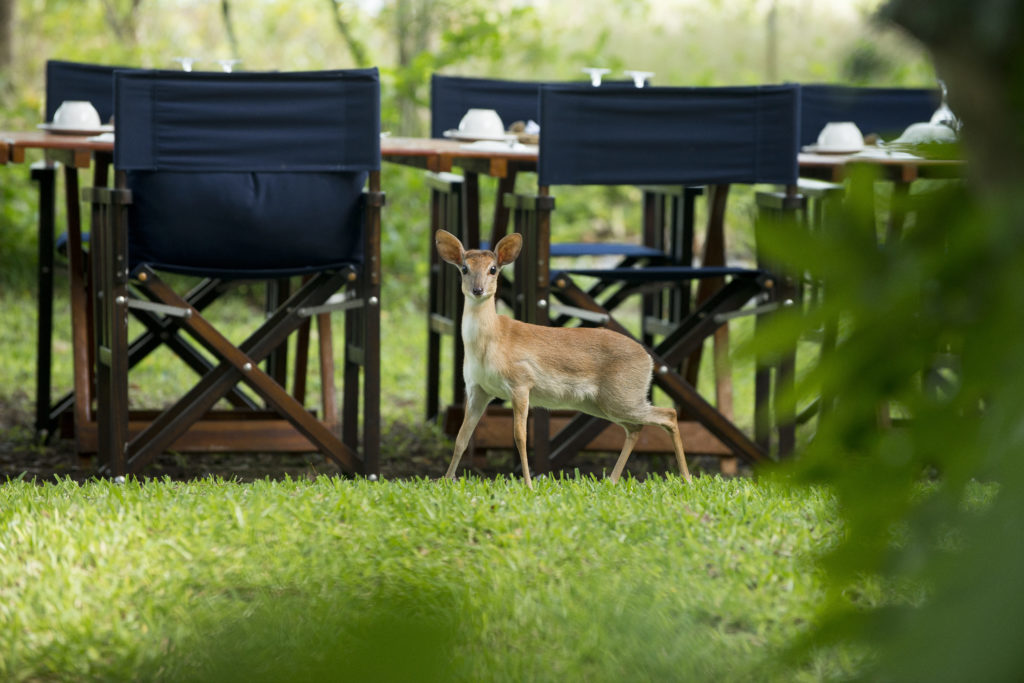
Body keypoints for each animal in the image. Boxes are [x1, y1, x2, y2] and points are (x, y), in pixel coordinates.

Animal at [435, 229, 692, 489]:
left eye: (493, 269)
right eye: (464, 268)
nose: (477, 290)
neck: (491, 343)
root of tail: (649, 360)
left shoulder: (521, 383)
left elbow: (520, 437)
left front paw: (528, 484)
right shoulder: (478, 389)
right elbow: (462, 437)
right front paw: (445, 480)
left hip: (623, 395)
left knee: (668, 414)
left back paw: (687, 478)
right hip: (602, 402)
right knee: (636, 427)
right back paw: (612, 479)